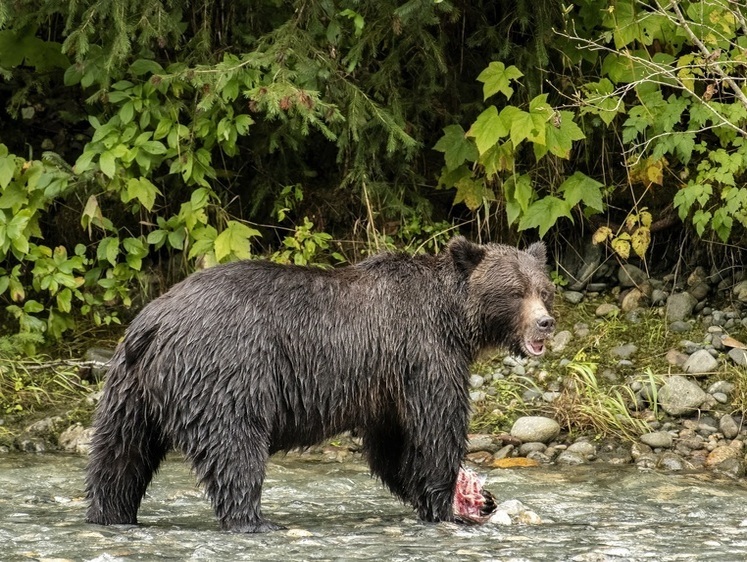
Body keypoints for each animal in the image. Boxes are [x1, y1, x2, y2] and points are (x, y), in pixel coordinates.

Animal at [86, 235, 556, 528]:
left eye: (544, 289)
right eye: (515, 291)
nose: (546, 323)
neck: (453, 319)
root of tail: (156, 322)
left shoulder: (385, 387)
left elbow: (393, 448)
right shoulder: (424, 355)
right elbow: (435, 430)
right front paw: (448, 507)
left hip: (129, 388)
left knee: (120, 454)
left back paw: (110, 513)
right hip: (226, 370)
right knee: (234, 444)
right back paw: (254, 520)